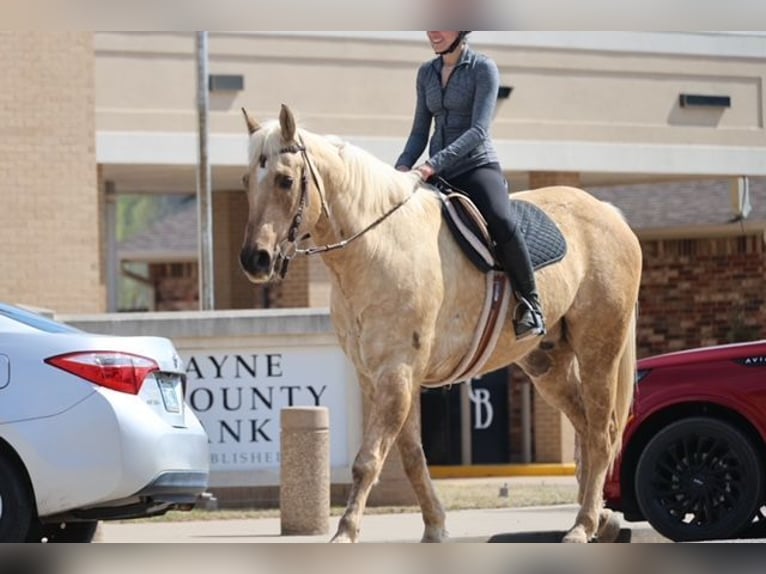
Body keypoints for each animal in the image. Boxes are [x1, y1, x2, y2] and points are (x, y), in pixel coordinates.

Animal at [238, 104, 642, 543]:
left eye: (285, 179)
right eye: (246, 180)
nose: (255, 260)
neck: (376, 246)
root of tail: (609, 213)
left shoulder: (397, 371)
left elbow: (369, 458)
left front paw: (345, 532)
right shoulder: (381, 376)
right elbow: (411, 455)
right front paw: (435, 527)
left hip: (599, 349)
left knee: (601, 434)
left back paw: (583, 526)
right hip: (547, 365)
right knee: (585, 430)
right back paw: (600, 518)